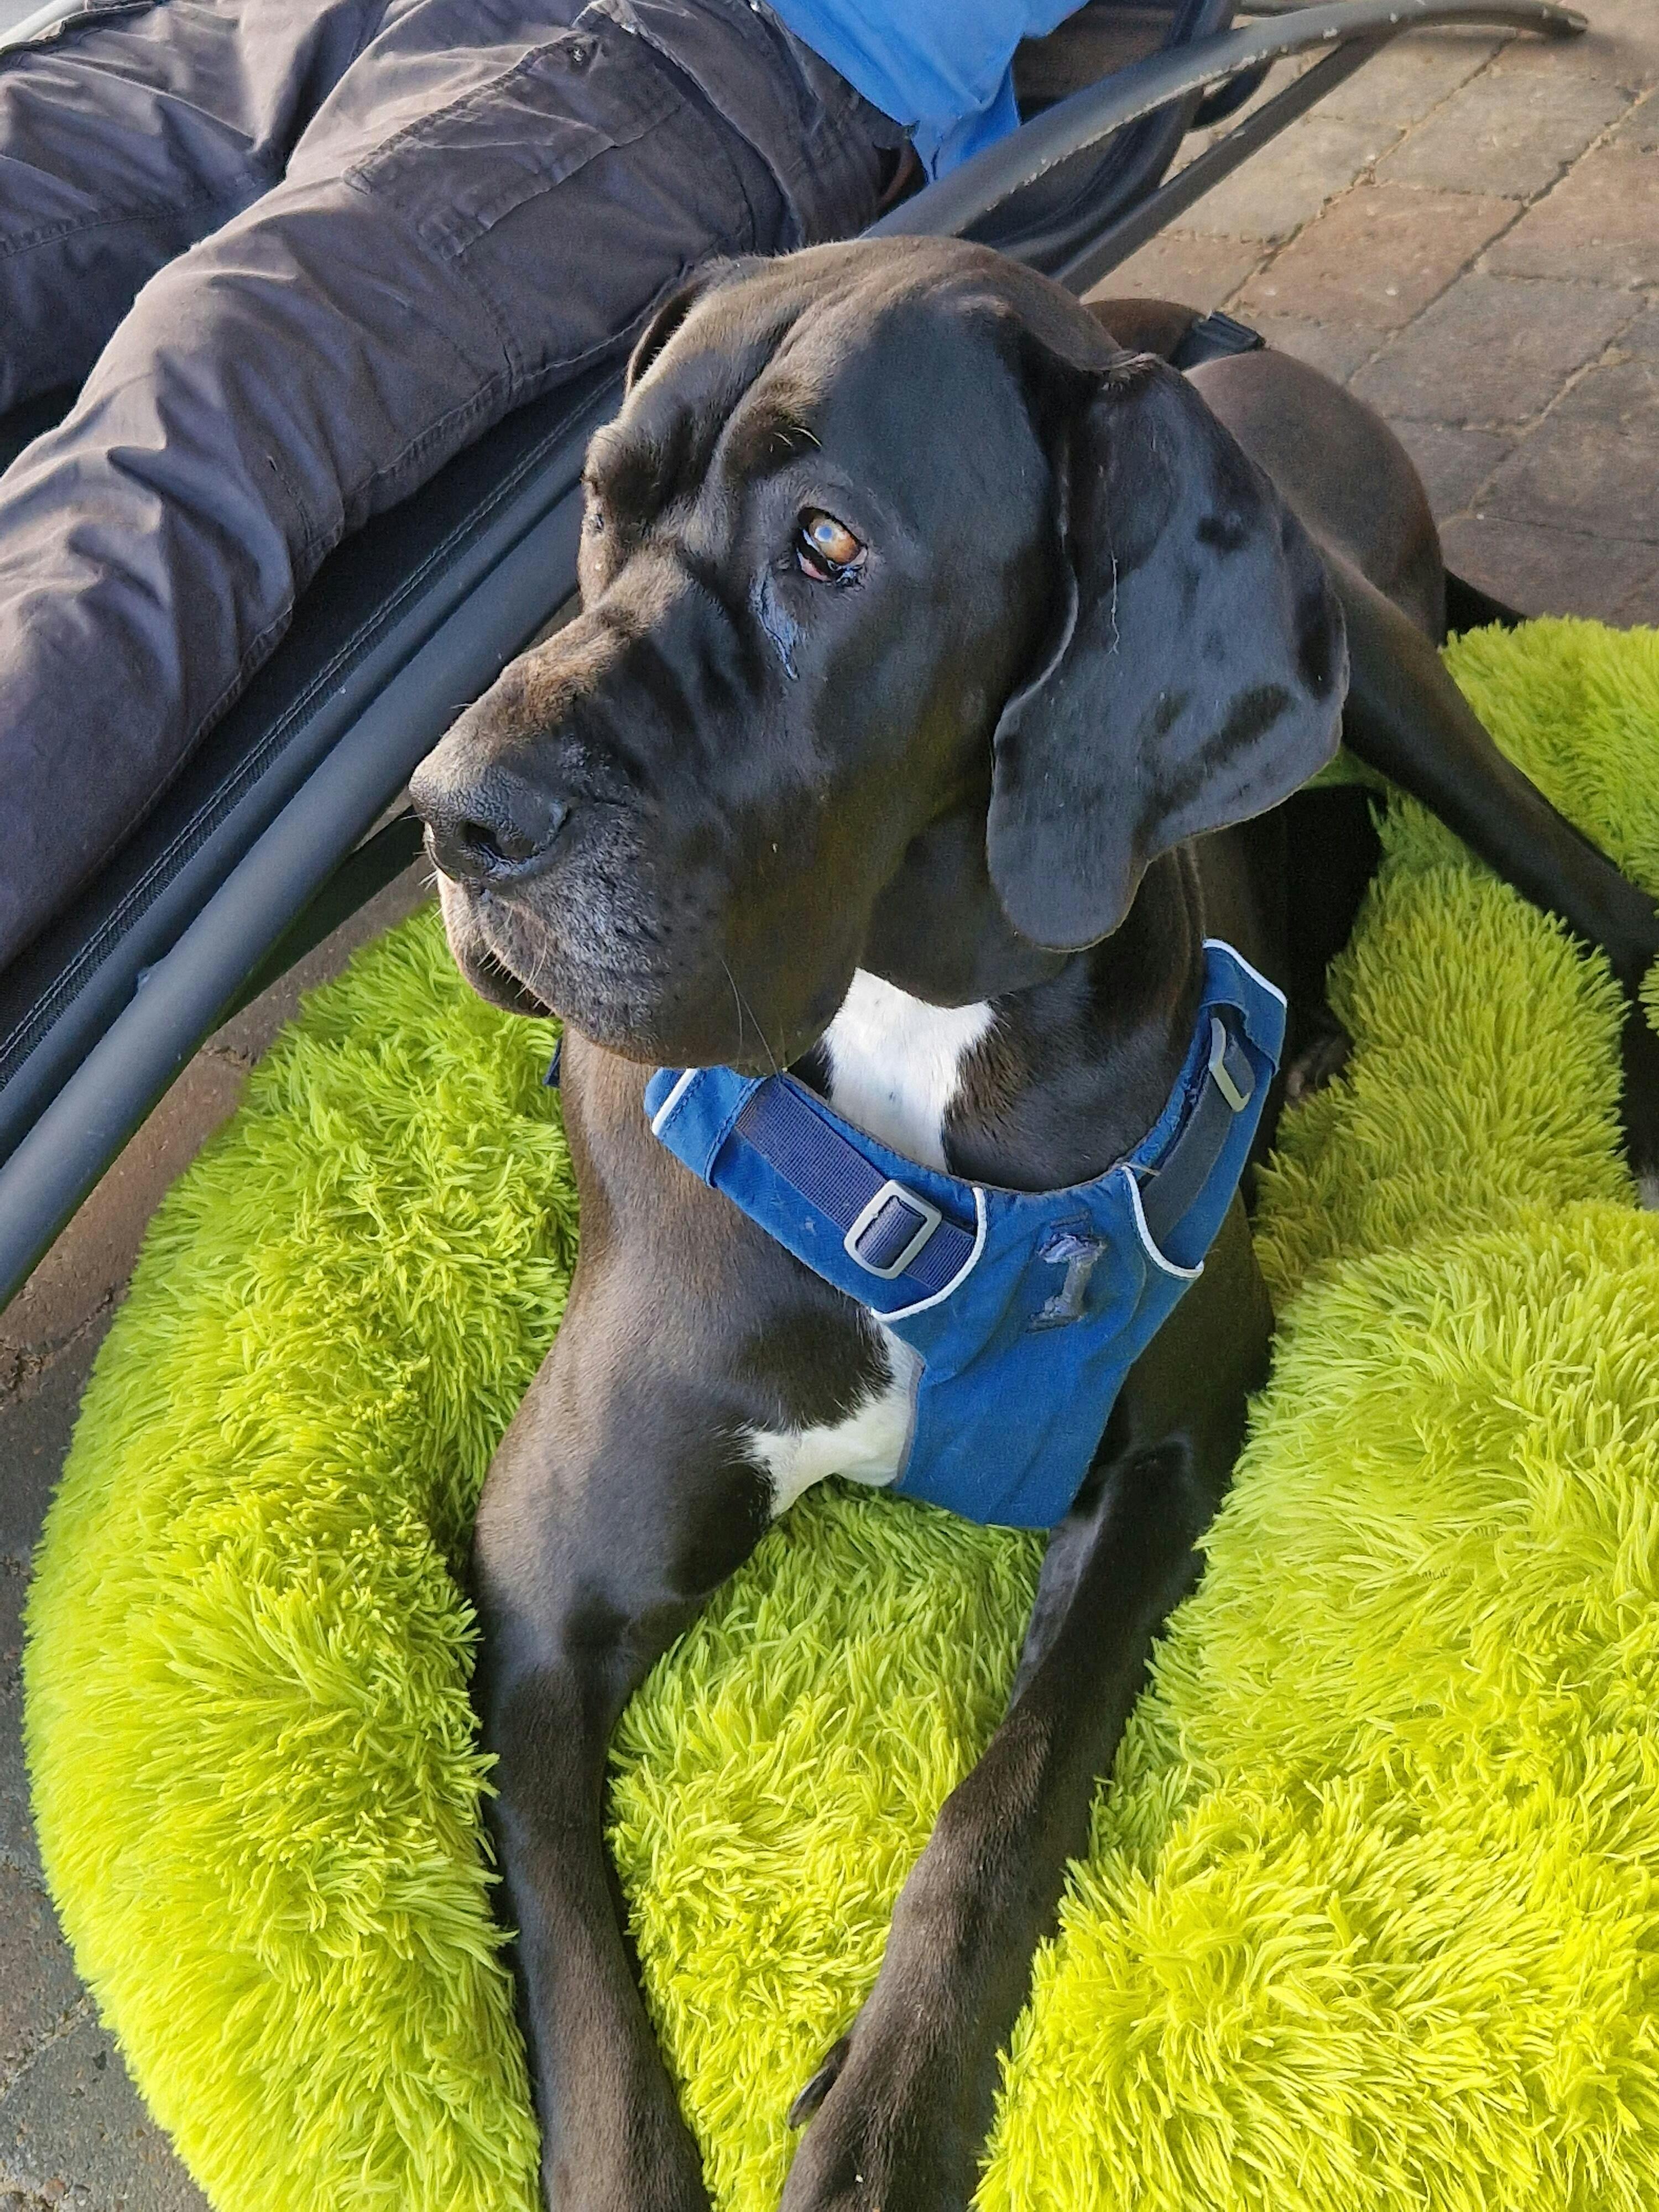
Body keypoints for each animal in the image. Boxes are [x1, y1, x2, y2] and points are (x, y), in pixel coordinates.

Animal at [408, 236, 1659, 2212]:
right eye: (601, 505)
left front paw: (885, 2120)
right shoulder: (536, 1598)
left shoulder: (1171, 1442)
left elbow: (1007, 1797)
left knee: (1608, 901)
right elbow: (579, 1990)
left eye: (828, 546)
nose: (454, 814)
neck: (911, 1038)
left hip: (1386, 677)